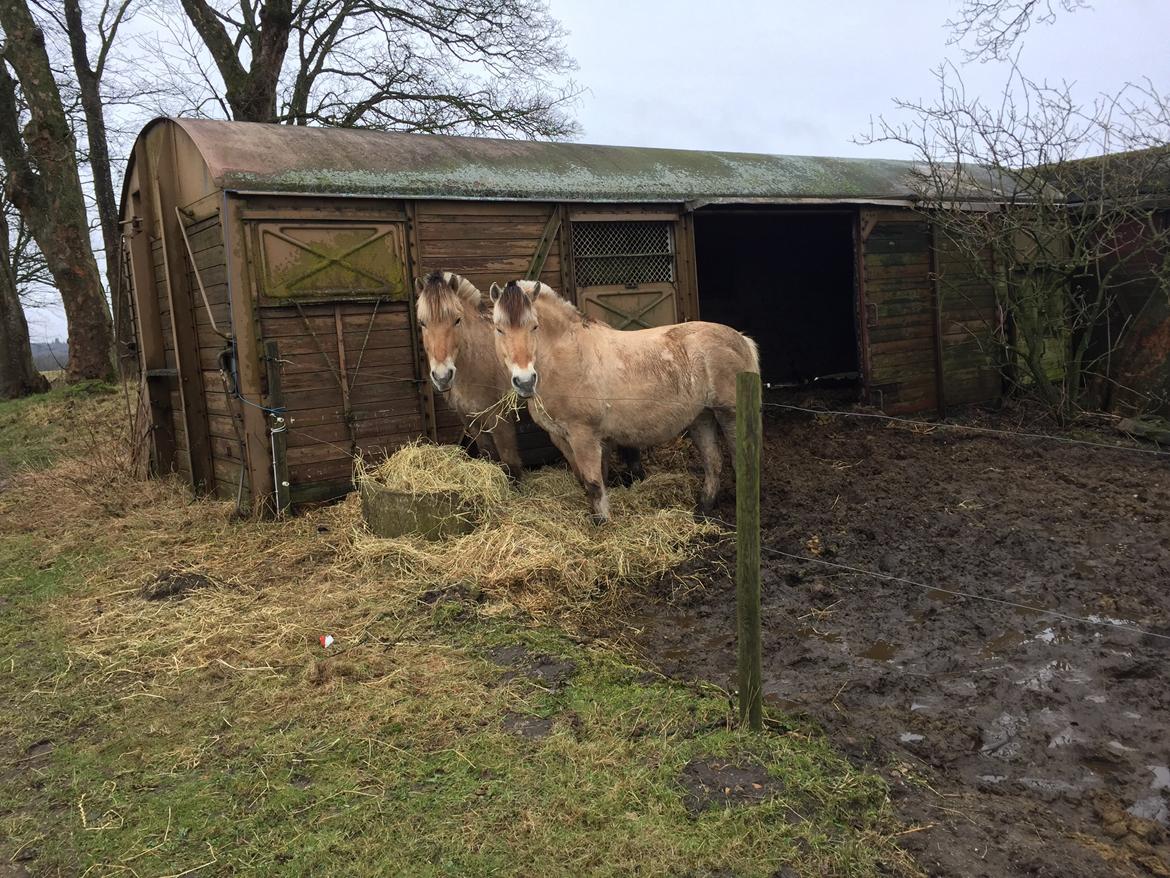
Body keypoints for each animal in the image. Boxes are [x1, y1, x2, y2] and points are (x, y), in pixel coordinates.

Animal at [411, 275, 521, 482]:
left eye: (457, 320)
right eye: (422, 323)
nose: (442, 376)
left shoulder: (500, 417)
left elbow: (511, 461)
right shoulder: (470, 419)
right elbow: (488, 454)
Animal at [486, 282, 753, 522]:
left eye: (534, 326)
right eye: (499, 329)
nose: (525, 381)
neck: (566, 355)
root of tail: (741, 339)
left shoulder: (584, 436)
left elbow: (594, 484)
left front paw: (602, 523)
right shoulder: (562, 437)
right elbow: (587, 480)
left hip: (729, 414)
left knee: (737, 459)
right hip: (701, 416)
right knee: (713, 462)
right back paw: (703, 509)